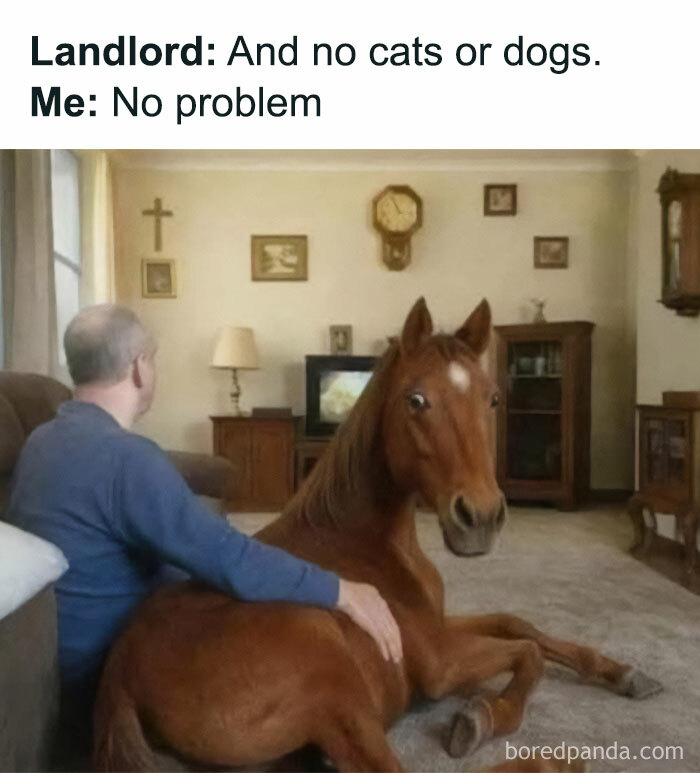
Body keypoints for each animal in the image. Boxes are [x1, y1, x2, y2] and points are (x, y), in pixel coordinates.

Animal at [93, 297, 661, 772]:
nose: (480, 517)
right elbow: (528, 652)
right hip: (335, 686)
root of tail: (121, 670)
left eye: (495, 398)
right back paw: (554, 762)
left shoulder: (442, 626)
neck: (363, 542)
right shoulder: (440, 662)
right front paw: (480, 716)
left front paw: (621, 672)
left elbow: (518, 623)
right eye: (416, 399)